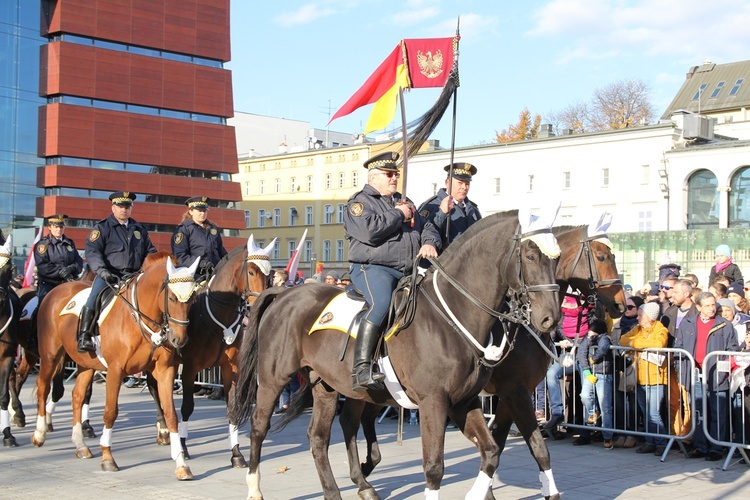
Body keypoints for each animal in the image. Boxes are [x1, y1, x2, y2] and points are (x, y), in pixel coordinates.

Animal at [32, 254, 200, 480]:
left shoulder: (165, 371)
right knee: (43, 387)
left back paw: (80, 444)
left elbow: (171, 415)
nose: (178, 339)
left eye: (191, 299)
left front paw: (181, 464)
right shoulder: (115, 370)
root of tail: (57, 290)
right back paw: (39, 433)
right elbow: (110, 412)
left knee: (77, 396)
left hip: (85, 364)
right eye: (172, 298)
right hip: (50, 355)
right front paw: (108, 458)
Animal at [145, 233, 274, 464]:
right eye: (251, 271)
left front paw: (236, 453)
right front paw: (183, 446)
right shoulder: (189, 368)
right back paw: (164, 430)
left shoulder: (231, 369)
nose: (259, 302)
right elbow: (187, 407)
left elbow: (232, 408)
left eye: (270, 273)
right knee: (154, 390)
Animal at [232, 210, 560, 500]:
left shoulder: (465, 401)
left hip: (328, 386)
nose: (550, 318)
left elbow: (493, 452)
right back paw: (254, 487)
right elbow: (434, 467)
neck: (452, 316)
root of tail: (284, 294)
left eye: (555, 258)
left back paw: (344, 489)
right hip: (273, 378)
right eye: (530, 255)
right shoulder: (438, 402)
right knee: (259, 427)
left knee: (319, 437)